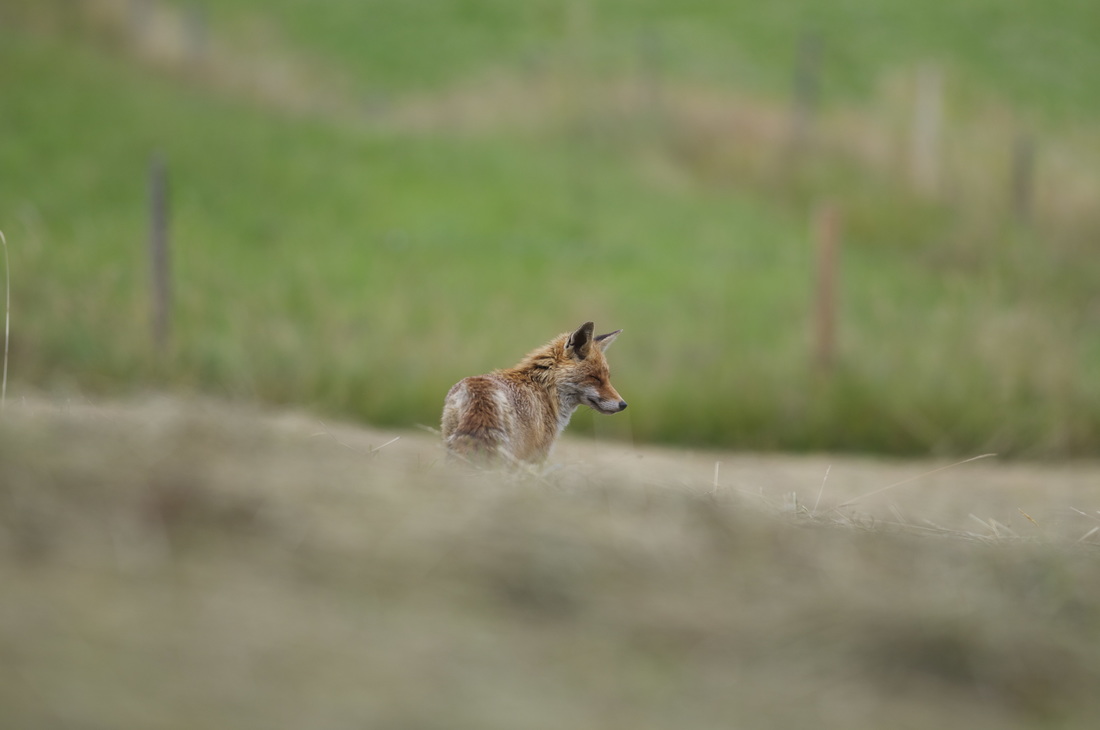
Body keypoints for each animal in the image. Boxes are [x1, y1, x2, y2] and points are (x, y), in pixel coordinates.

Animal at [441, 321, 627, 465]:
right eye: (595, 378)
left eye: (607, 378)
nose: (623, 404)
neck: (546, 391)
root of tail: (479, 392)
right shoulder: (536, 458)